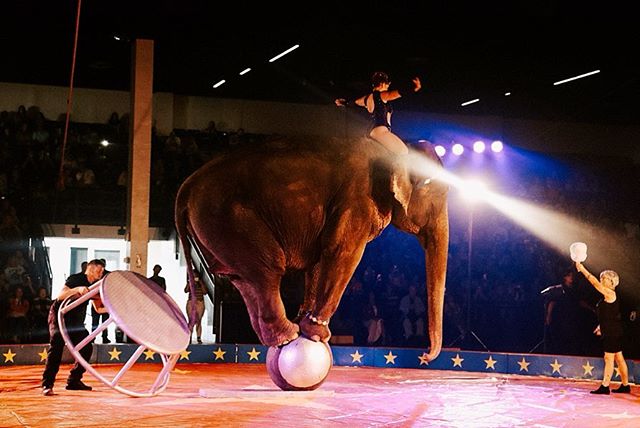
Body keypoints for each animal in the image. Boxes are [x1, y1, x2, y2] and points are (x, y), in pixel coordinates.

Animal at [175, 134, 450, 362]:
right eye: (438, 193)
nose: (426, 356)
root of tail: (187, 184)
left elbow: (318, 262)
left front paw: (306, 321)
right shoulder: (357, 199)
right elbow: (342, 253)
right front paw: (317, 333)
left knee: (242, 278)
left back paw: (281, 334)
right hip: (228, 219)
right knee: (267, 269)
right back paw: (288, 335)